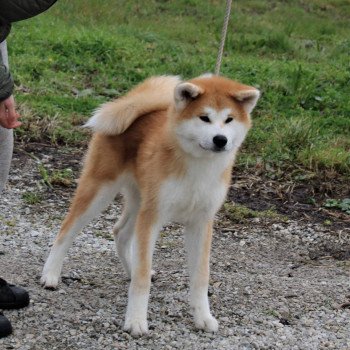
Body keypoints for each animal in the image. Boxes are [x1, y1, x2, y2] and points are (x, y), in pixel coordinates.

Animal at [40, 74, 260, 336]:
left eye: (229, 119)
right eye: (204, 118)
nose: (220, 139)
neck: (198, 166)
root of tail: (132, 104)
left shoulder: (201, 222)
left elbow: (200, 277)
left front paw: (203, 317)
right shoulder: (152, 217)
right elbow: (143, 277)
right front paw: (136, 320)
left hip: (138, 201)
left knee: (120, 232)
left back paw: (129, 269)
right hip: (100, 191)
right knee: (66, 230)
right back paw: (50, 274)